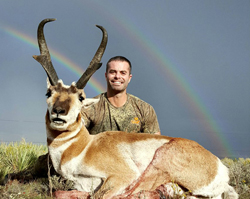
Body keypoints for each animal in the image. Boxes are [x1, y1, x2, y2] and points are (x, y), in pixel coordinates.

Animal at [33, 17, 238, 198]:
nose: (59, 112)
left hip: (160, 161)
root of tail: (219, 167)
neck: (84, 146)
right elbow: (59, 191)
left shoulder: (123, 176)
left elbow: (97, 195)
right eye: (48, 93)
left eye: (81, 97)